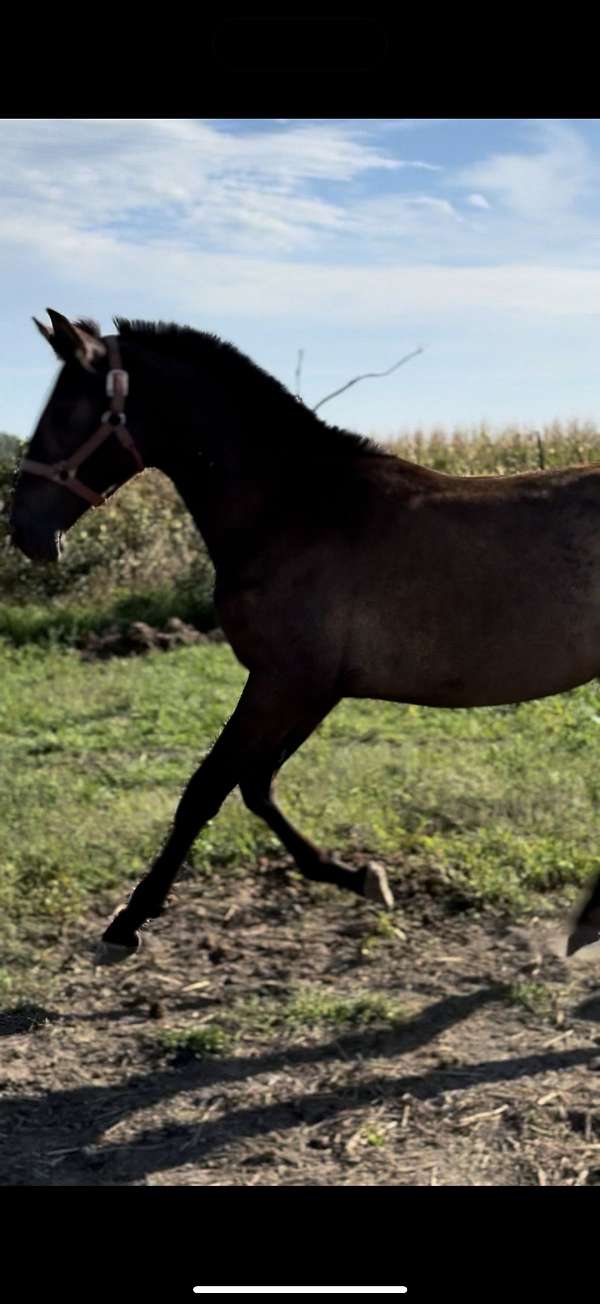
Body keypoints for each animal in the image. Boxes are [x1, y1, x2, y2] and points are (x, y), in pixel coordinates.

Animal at [9, 309, 600, 964]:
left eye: (65, 411)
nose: (23, 529)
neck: (292, 508)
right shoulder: (314, 689)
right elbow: (256, 785)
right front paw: (360, 877)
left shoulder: (283, 683)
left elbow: (205, 791)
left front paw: (125, 925)